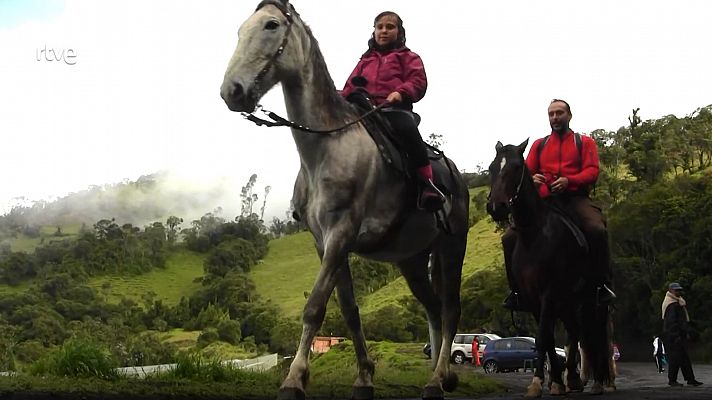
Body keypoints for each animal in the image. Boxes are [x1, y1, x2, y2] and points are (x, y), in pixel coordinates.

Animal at [220, 1, 470, 398]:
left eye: (271, 25)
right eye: (241, 30)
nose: (232, 91)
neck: (327, 145)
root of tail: (453, 174)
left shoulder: (341, 234)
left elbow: (315, 306)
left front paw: (294, 378)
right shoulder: (325, 243)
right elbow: (350, 309)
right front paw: (365, 376)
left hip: (451, 245)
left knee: (449, 310)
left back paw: (436, 380)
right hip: (412, 260)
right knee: (432, 307)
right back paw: (440, 373)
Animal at [486, 141, 616, 396]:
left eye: (517, 167)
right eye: (491, 168)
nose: (497, 207)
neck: (534, 235)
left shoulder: (548, 293)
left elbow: (542, 337)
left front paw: (540, 383)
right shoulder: (533, 298)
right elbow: (546, 341)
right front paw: (554, 381)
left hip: (591, 300)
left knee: (593, 333)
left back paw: (597, 382)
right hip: (567, 302)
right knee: (576, 332)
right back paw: (573, 379)